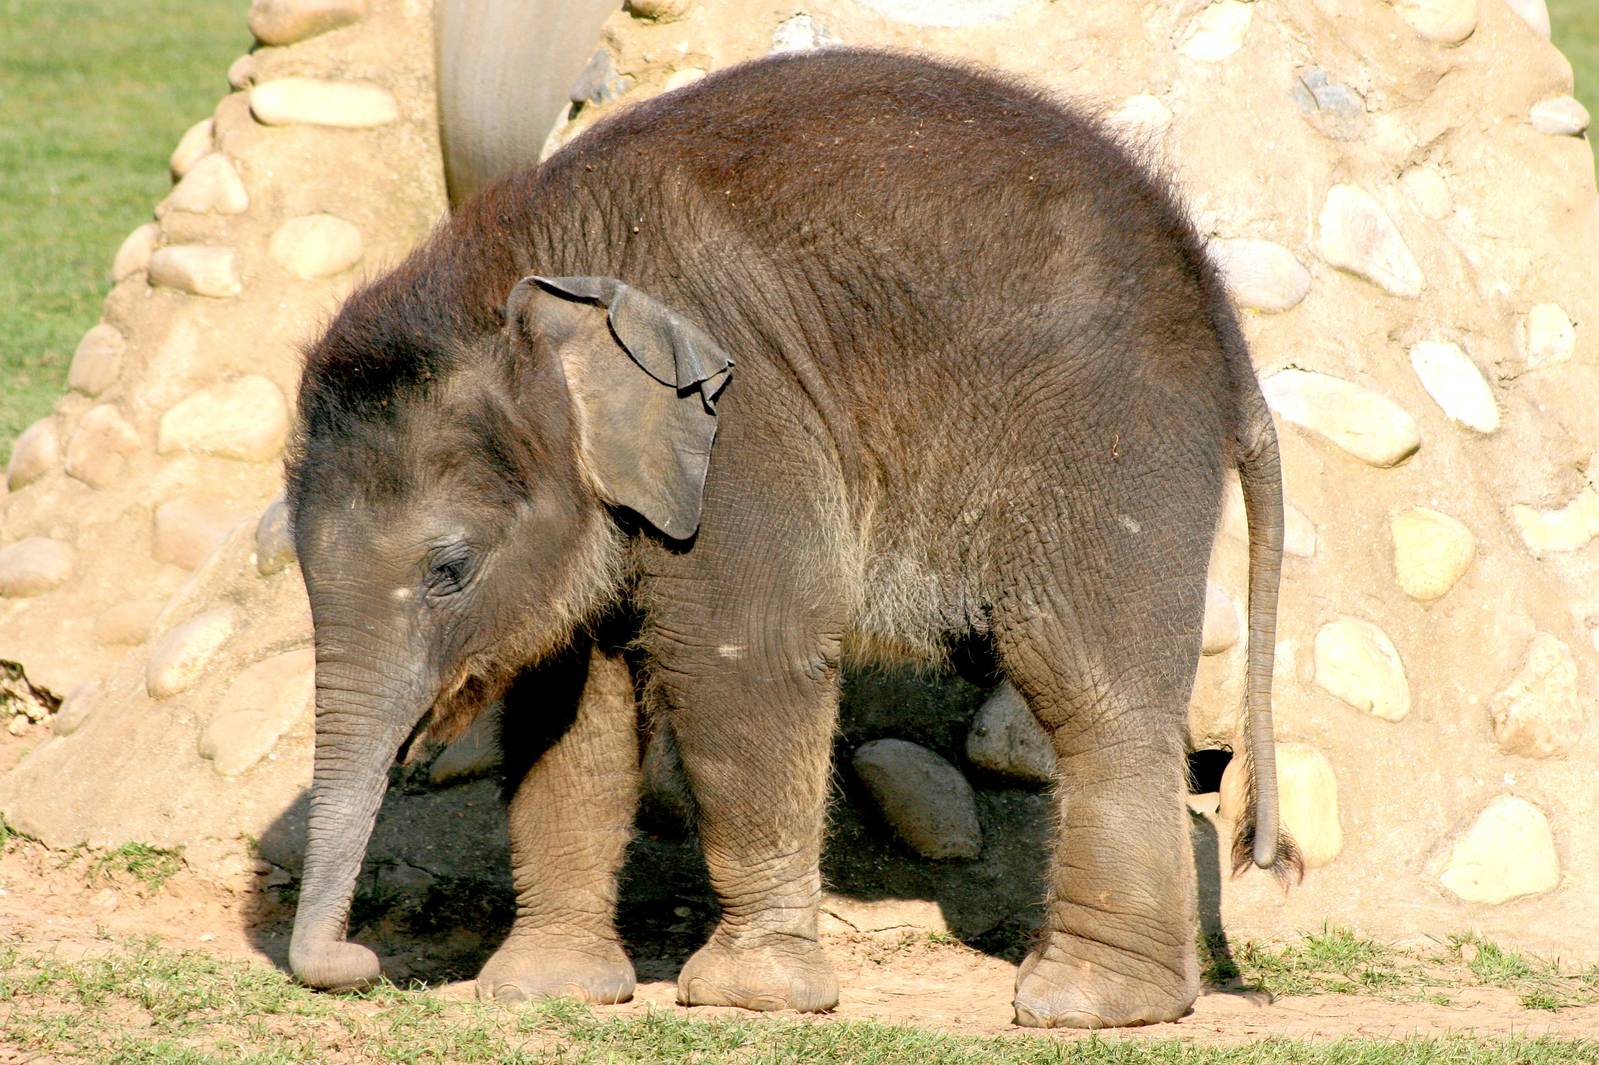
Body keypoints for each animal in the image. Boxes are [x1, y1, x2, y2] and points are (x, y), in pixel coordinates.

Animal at [283, 47, 1301, 1029]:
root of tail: (1224, 330)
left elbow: (743, 657)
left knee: (1085, 686)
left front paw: (748, 996)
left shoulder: (748, 419)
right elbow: (574, 708)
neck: (535, 272)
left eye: (449, 568)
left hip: (1108, 436)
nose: (360, 964)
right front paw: (542, 991)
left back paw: (1086, 1006)